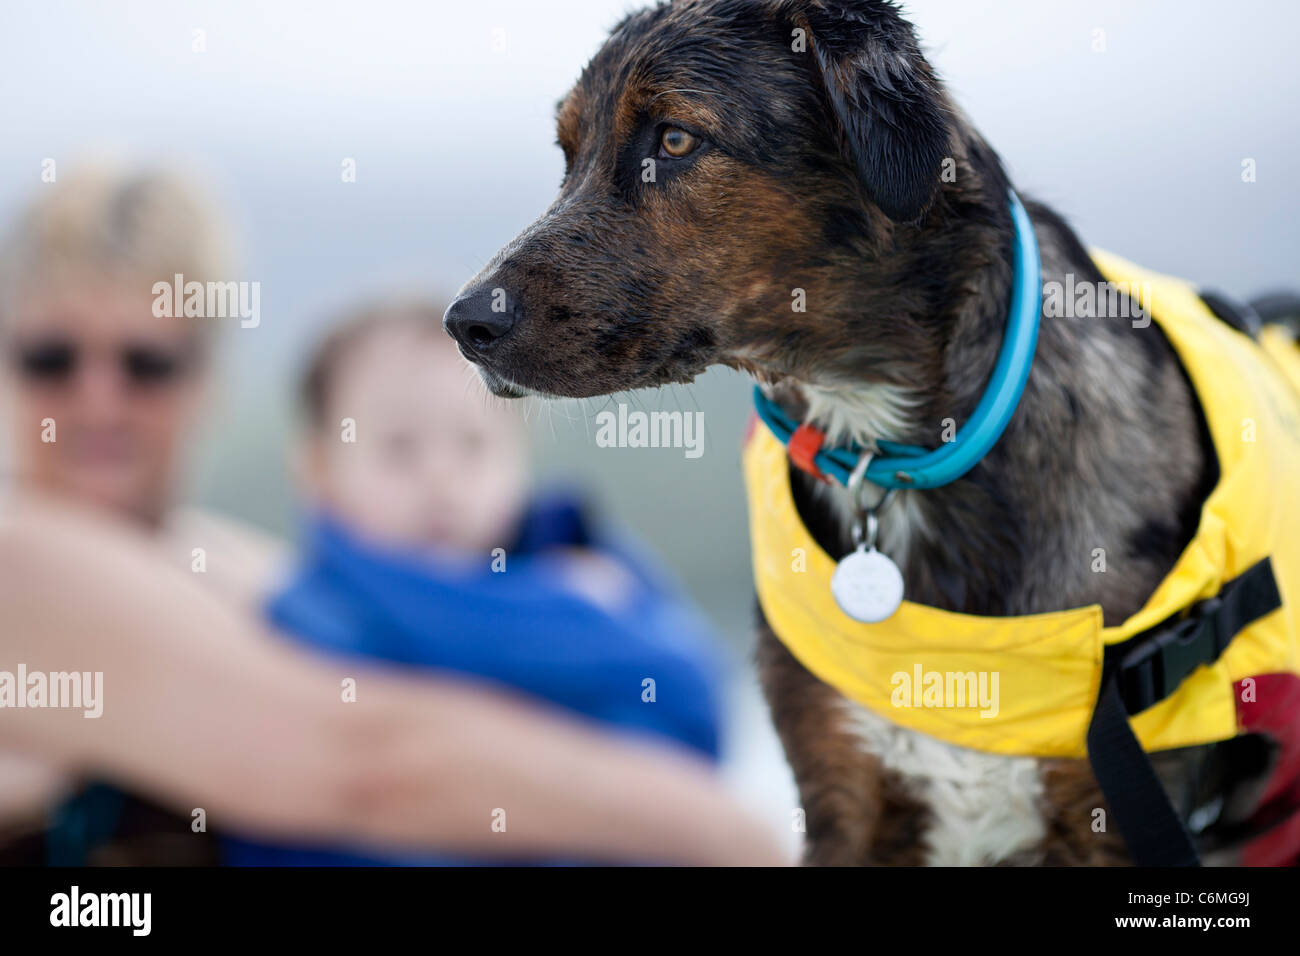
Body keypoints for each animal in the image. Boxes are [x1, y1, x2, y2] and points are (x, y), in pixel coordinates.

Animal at [444, 0, 1289, 868]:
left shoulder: (1108, 814)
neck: (891, 454)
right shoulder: (842, 798)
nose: (467, 323)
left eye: (674, 140)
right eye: (568, 153)